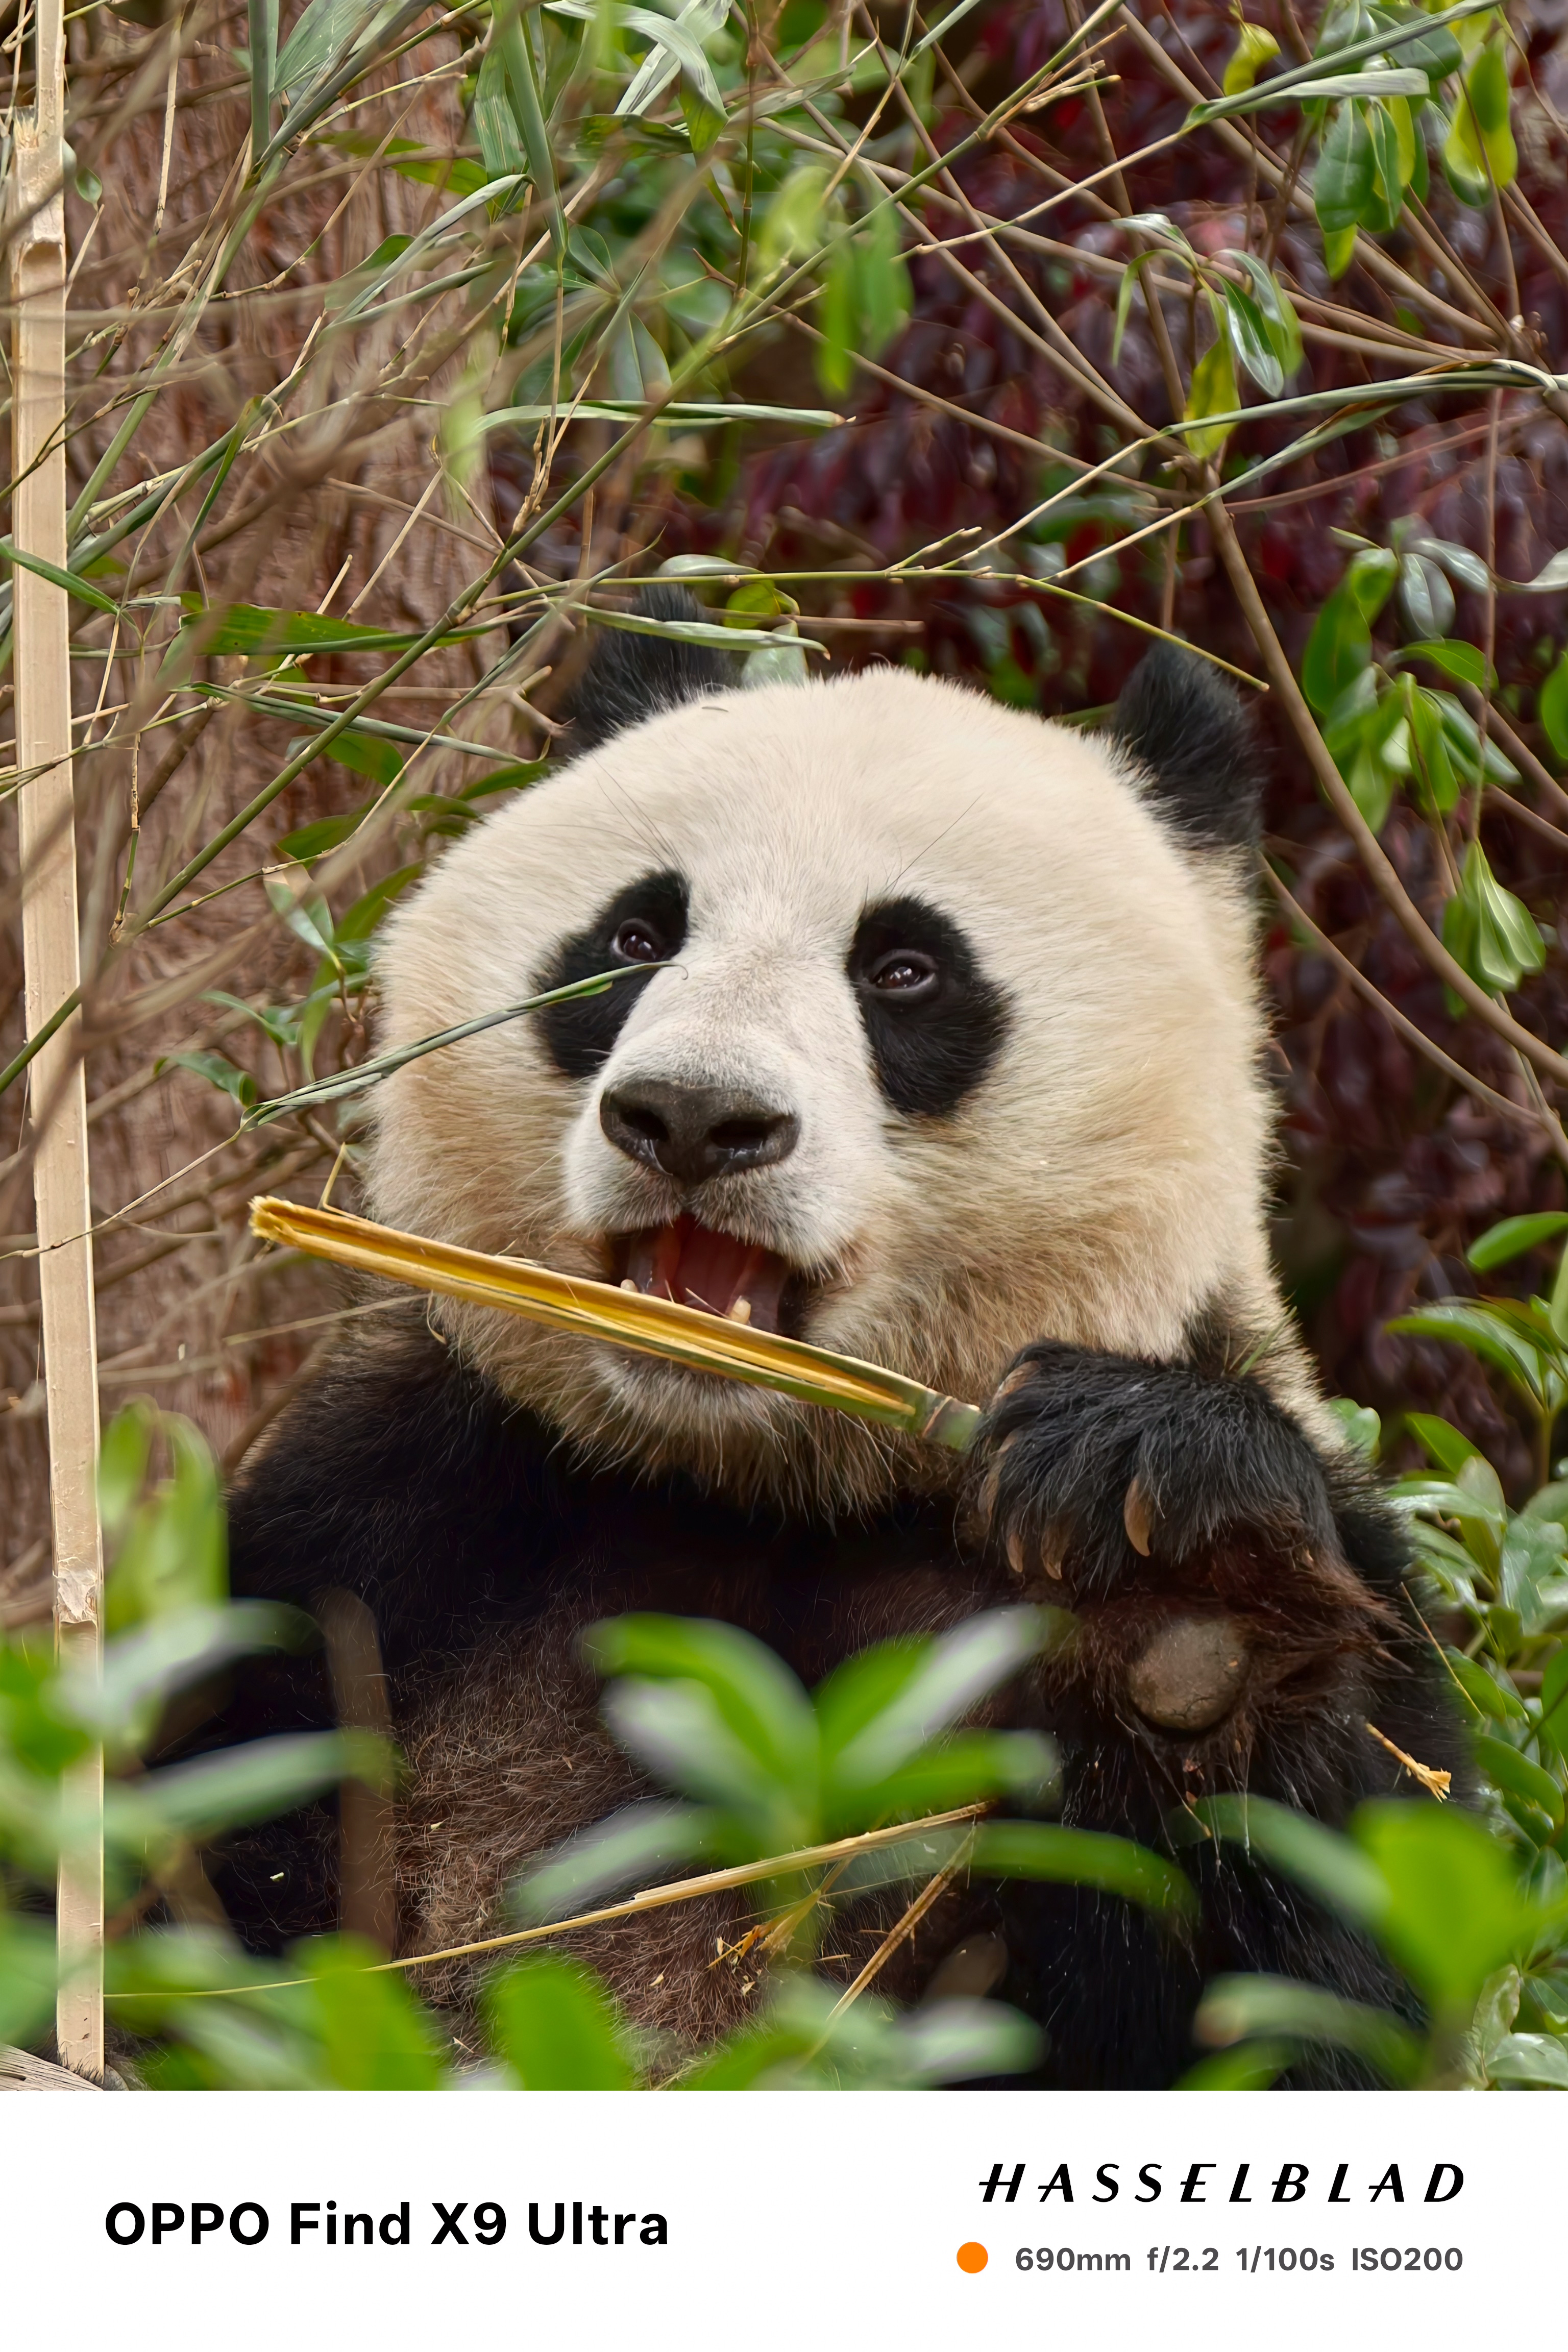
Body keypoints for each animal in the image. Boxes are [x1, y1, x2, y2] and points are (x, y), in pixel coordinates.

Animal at [214, 594, 1463, 2086]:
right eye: (634, 938)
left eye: (904, 970)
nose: (695, 1117)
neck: (762, 1484)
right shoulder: (393, 1529)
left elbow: (1301, 2001)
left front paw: (1181, 1583)